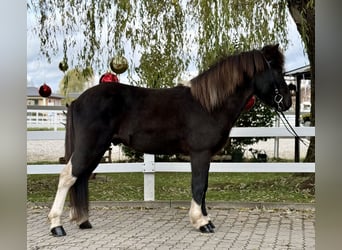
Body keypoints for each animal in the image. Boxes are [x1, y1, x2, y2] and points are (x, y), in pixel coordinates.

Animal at [46, 43, 290, 236]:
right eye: (276, 69)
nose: (287, 100)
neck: (208, 105)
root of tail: (77, 101)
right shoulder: (200, 153)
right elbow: (199, 185)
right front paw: (201, 222)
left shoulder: (205, 155)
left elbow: (204, 186)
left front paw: (206, 219)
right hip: (90, 146)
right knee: (68, 176)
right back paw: (57, 226)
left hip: (96, 149)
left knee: (80, 177)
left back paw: (83, 220)